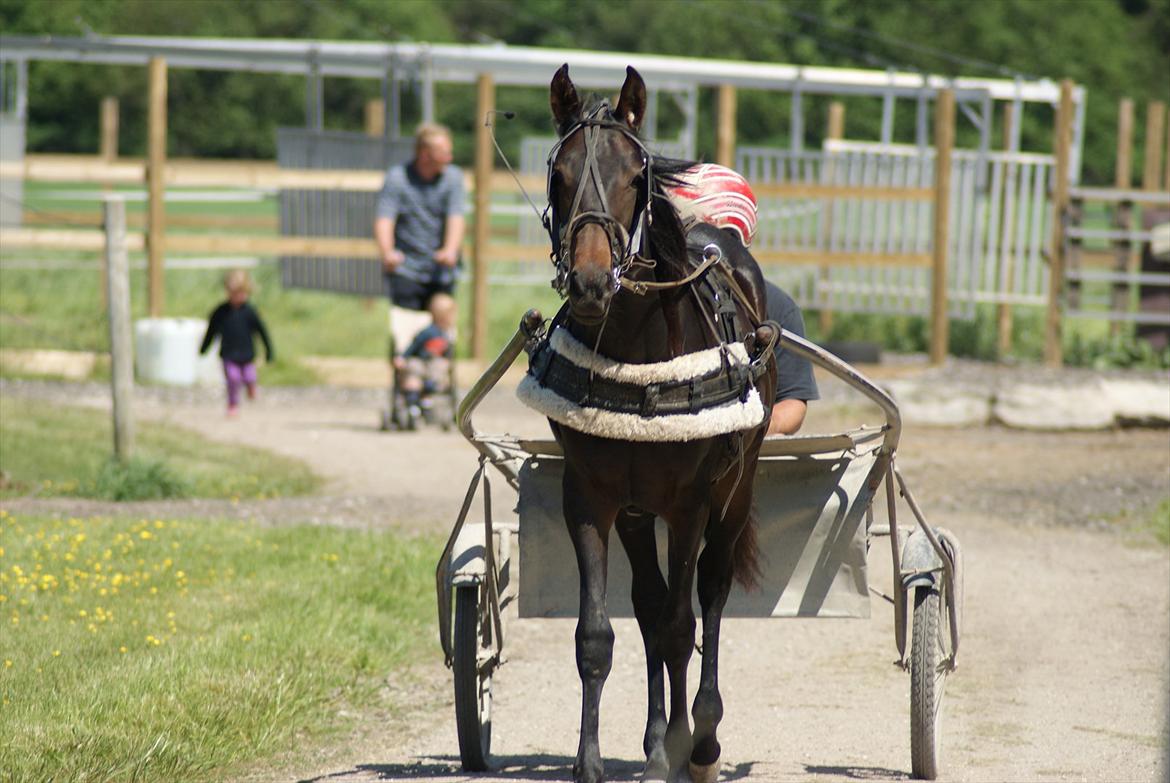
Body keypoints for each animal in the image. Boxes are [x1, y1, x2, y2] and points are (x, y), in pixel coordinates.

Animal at [535, 64, 776, 777]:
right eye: (559, 175)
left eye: (633, 177)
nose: (590, 281)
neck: (637, 351)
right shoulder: (590, 495)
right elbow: (598, 634)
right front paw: (592, 762)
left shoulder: (691, 500)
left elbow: (680, 625)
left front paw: (681, 745)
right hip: (639, 513)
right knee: (648, 604)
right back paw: (653, 739)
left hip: (734, 489)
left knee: (709, 594)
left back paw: (699, 737)